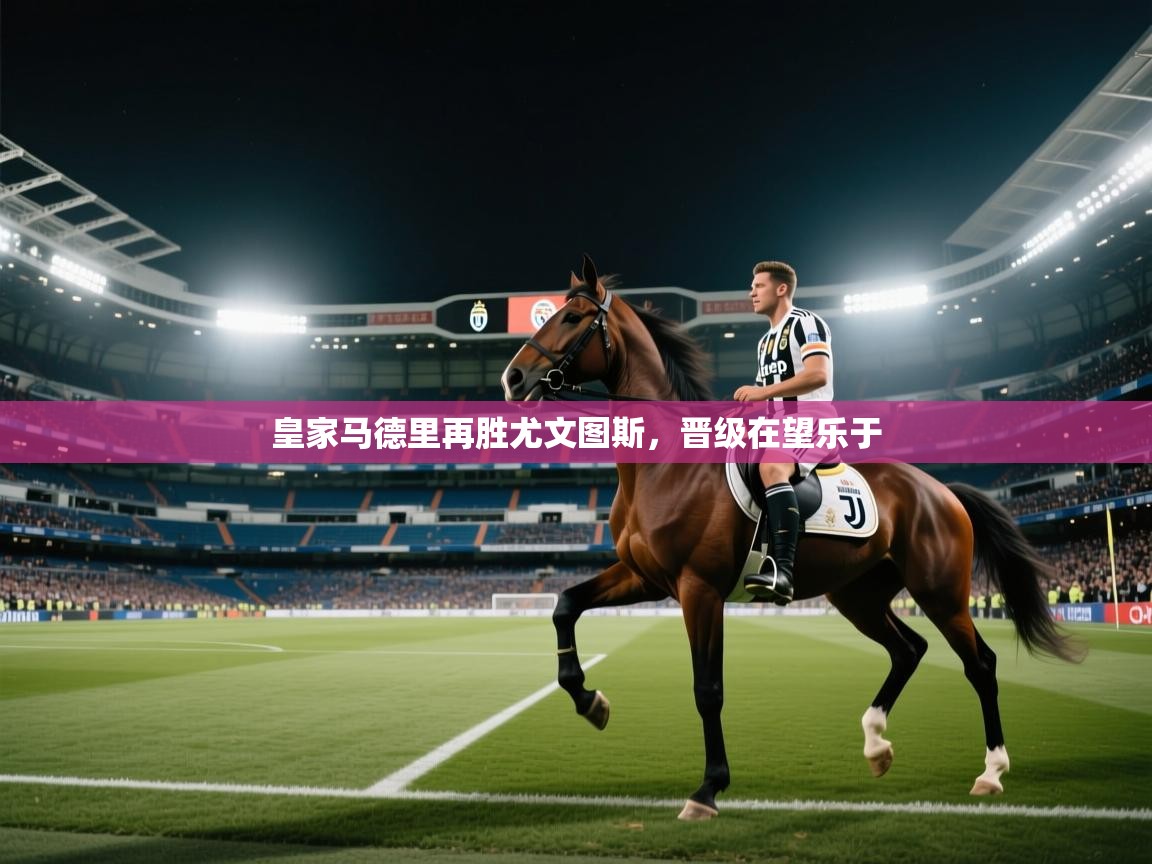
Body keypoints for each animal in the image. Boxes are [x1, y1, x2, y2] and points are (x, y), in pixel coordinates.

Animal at [500, 255, 1083, 821]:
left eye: (572, 318)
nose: (513, 378)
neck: (668, 466)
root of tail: (941, 489)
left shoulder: (699, 589)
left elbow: (707, 689)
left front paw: (708, 788)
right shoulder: (646, 576)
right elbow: (565, 605)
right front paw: (589, 700)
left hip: (940, 593)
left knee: (979, 664)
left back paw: (992, 770)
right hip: (859, 595)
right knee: (909, 649)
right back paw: (876, 744)